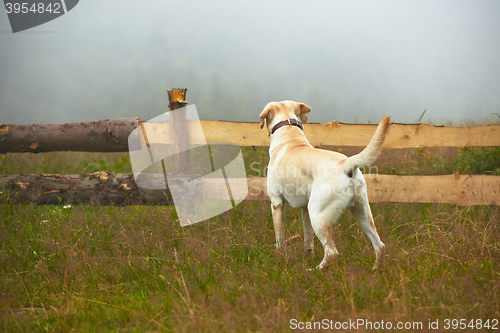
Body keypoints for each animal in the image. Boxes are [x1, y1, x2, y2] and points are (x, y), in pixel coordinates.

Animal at [262, 100, 390, 268]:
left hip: (318, 215)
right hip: (362, 212)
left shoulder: (276, 202)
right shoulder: (304, 209)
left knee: (331, 252)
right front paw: (308, 257)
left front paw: (280, 259)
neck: (289, 133)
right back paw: (377, 270)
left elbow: (280, 239)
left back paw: (315, 270)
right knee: (379, 245)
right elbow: (308, 240)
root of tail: (345, 164)